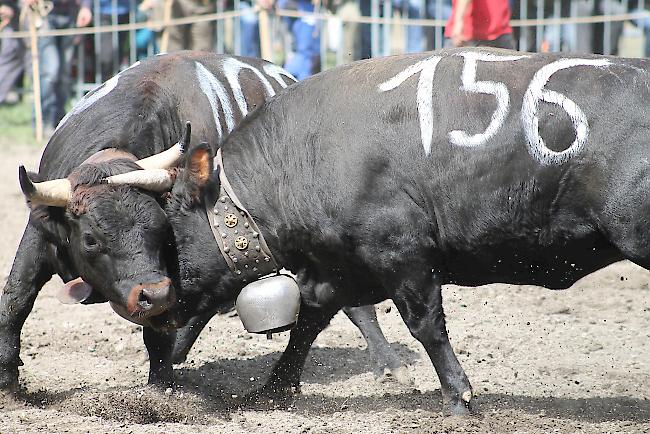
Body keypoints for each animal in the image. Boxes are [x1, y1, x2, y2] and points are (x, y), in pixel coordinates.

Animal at [0, 51, 410, 394]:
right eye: (90, 239)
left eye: (161, 230)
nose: (151, 294)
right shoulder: (40, 234)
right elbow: (16, 299)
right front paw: (9, 384)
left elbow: (162, 329)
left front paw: (159, 389)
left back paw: (388, 362)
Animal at [154, 47, 644, 414]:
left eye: (170, 232)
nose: (150, 317)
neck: (301, 156)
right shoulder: (336, 269)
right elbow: (308, 322)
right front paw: (272, 390)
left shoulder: (401, 254)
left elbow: (425, 324)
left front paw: (459, 396)